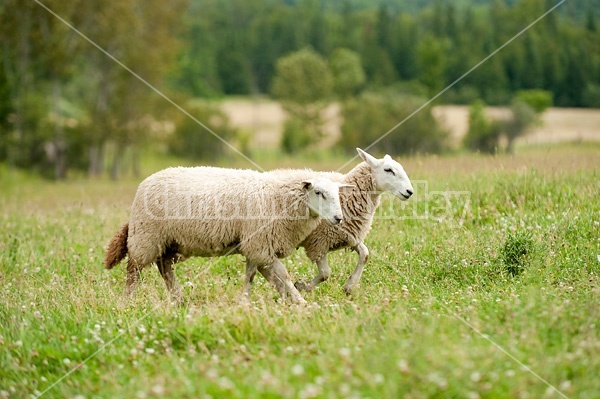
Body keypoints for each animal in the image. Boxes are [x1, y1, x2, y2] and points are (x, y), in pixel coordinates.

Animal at [103, 167, 352, 304]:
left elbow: (257, 275)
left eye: (337, 193)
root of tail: (146, 182)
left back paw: (178, 298)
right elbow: (282, 274)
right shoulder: (260, 244)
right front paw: (299, 301)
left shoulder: (257, 245)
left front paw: (263, 300)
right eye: (318, 192)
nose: (338, 218)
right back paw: (127, 302)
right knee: (133, 270)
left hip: (170, 241)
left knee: (164, 267)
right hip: (146, 237)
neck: (277, 197)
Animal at [255, 148, 414, 296]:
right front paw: (303, 285)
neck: (349, 195)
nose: (410, 192)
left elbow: (365, 254)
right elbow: (325, 273)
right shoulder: (319, 242)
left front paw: (349, 286)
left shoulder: (348, 234)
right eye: (388, 170)